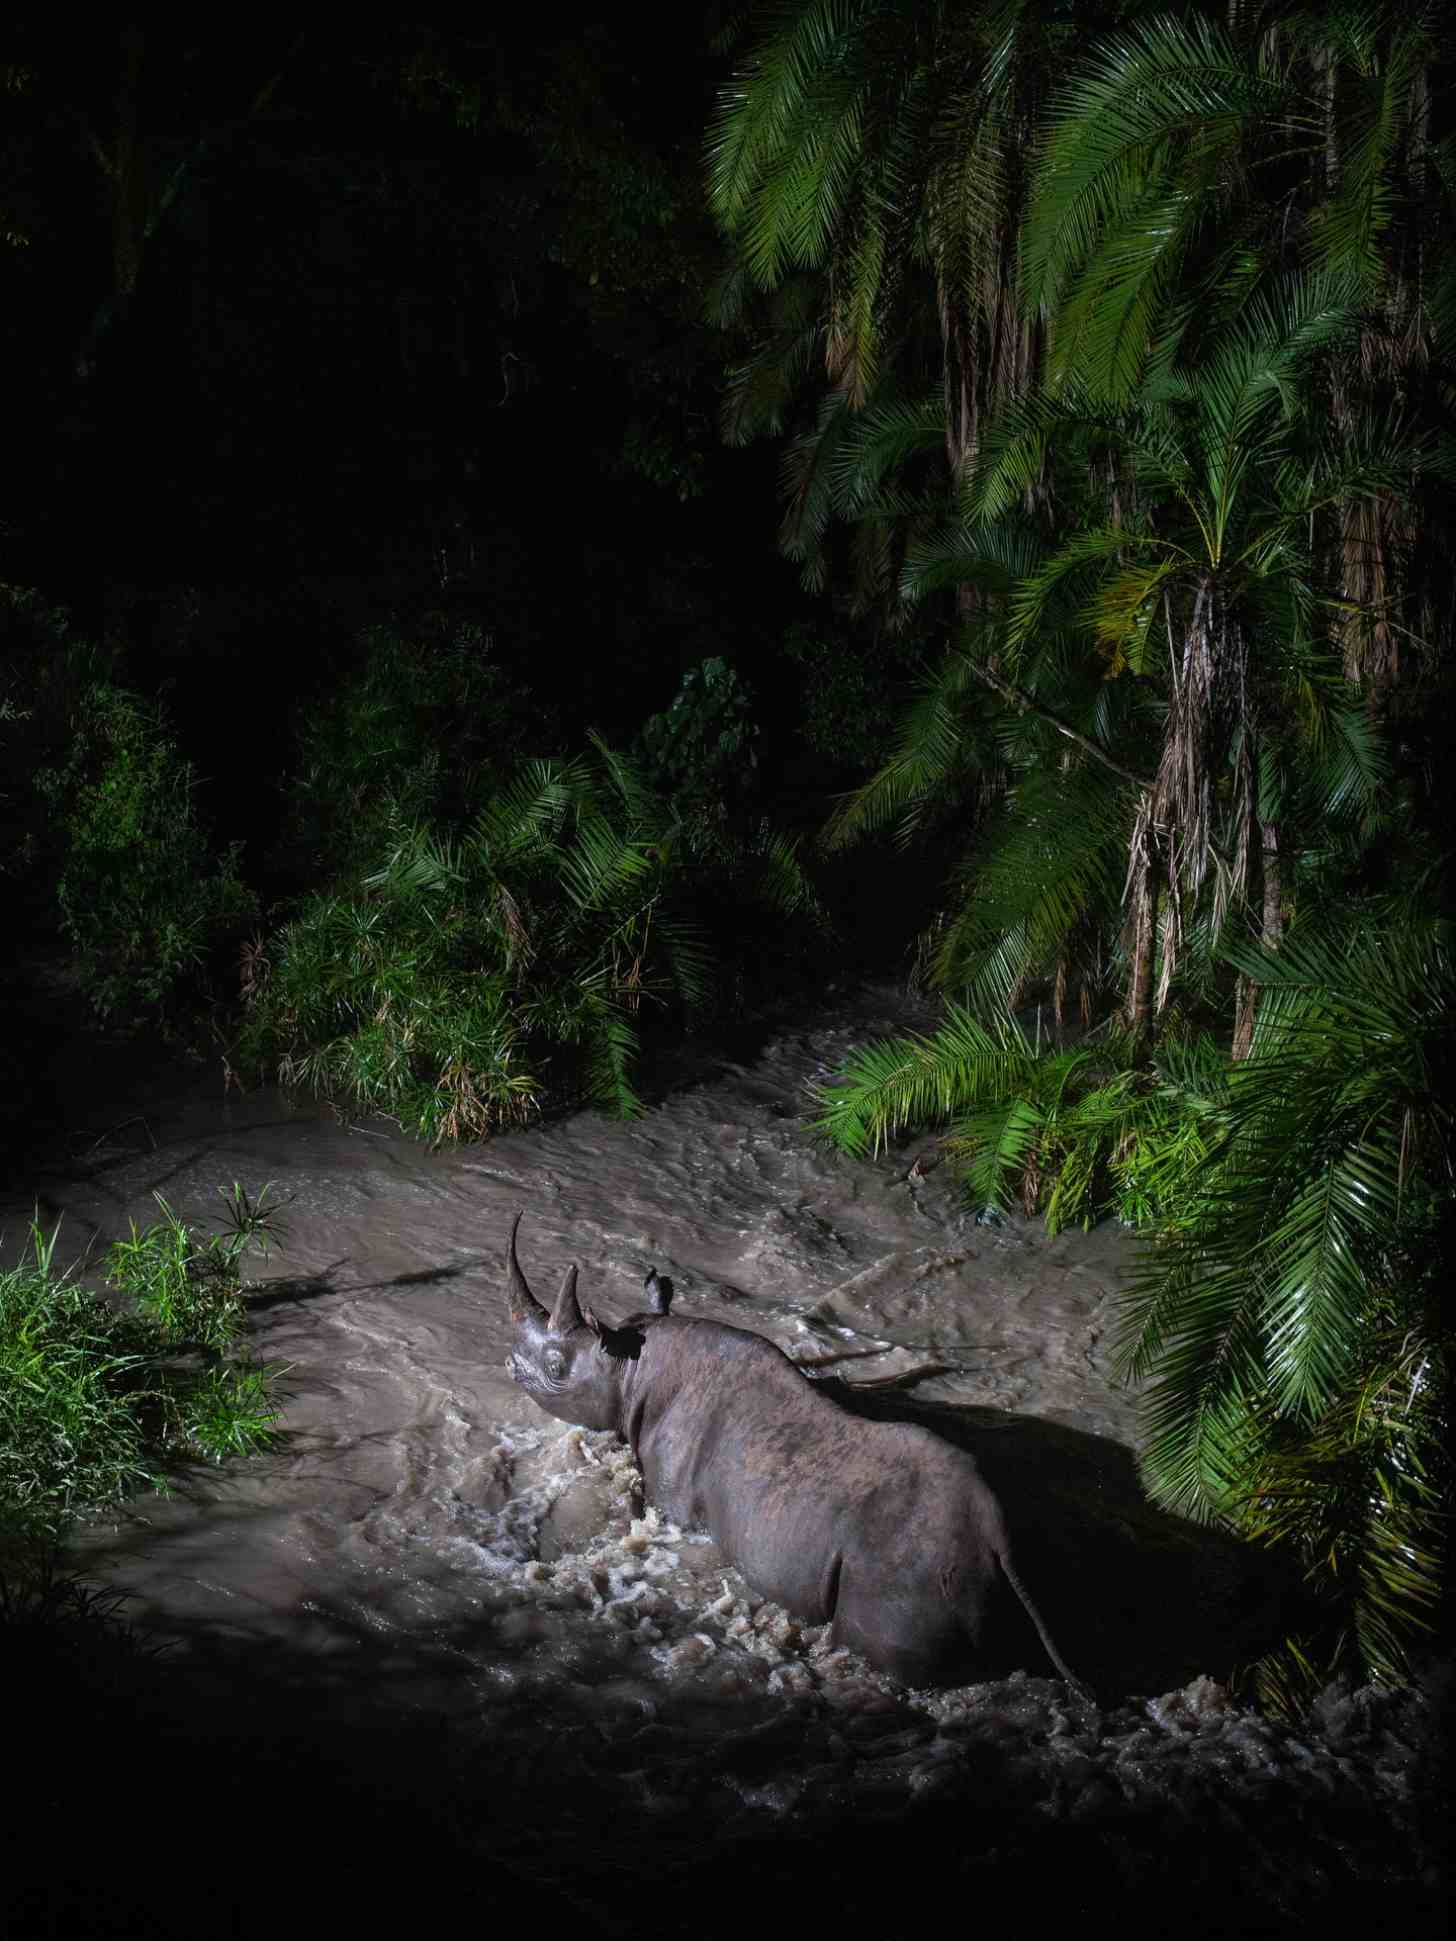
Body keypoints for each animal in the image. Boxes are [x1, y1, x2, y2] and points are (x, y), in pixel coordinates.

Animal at [504, 1214, 1083, 1692]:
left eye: (555, 1367)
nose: (510, 1364)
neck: (631, 1366)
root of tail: (994, 1541)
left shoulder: (674, 1500)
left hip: (908, 1567)